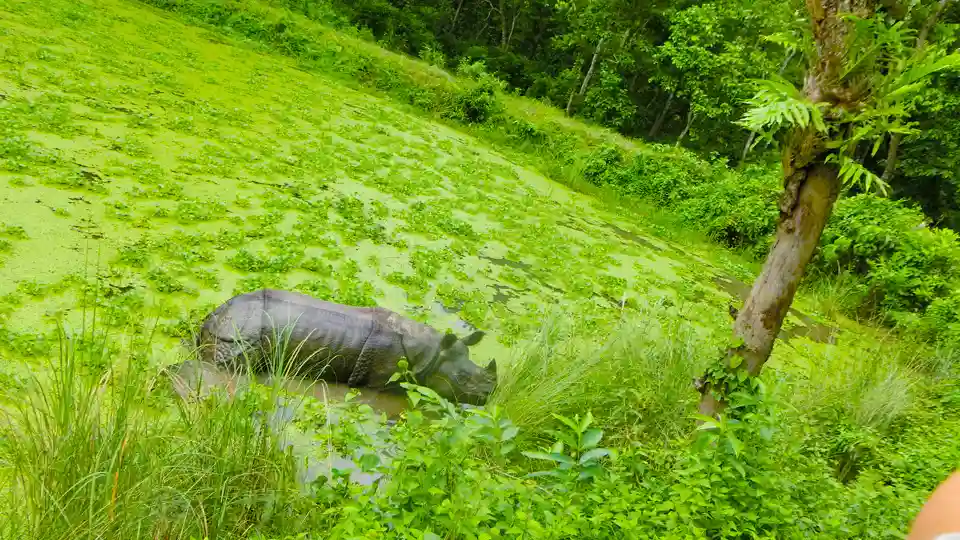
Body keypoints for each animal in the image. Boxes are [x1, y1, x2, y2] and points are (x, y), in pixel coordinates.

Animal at [196, 289, 497, 405]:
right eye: (462, 379)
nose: (487, 398)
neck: (432, 354)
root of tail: (213, 315)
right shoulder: (382, 377)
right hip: (238, 338)